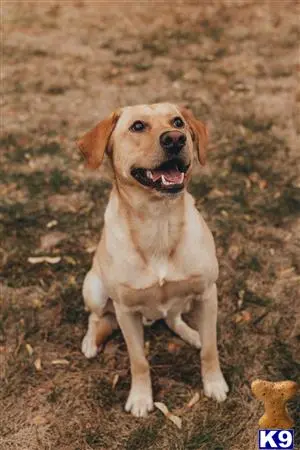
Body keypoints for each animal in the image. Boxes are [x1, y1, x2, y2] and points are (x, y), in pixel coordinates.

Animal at [77, 103, 227, 416]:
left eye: (178, 122)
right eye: (137, 126)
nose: (175, 139)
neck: (159, 221)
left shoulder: (208, 294)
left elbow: (210, 348)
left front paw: (214, 383)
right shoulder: (125, 311)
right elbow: (139, 361)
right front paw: (141, 398)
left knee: (173, 317)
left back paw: (191, 333)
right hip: (94, 287)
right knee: (96, 316)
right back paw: (90, 340)